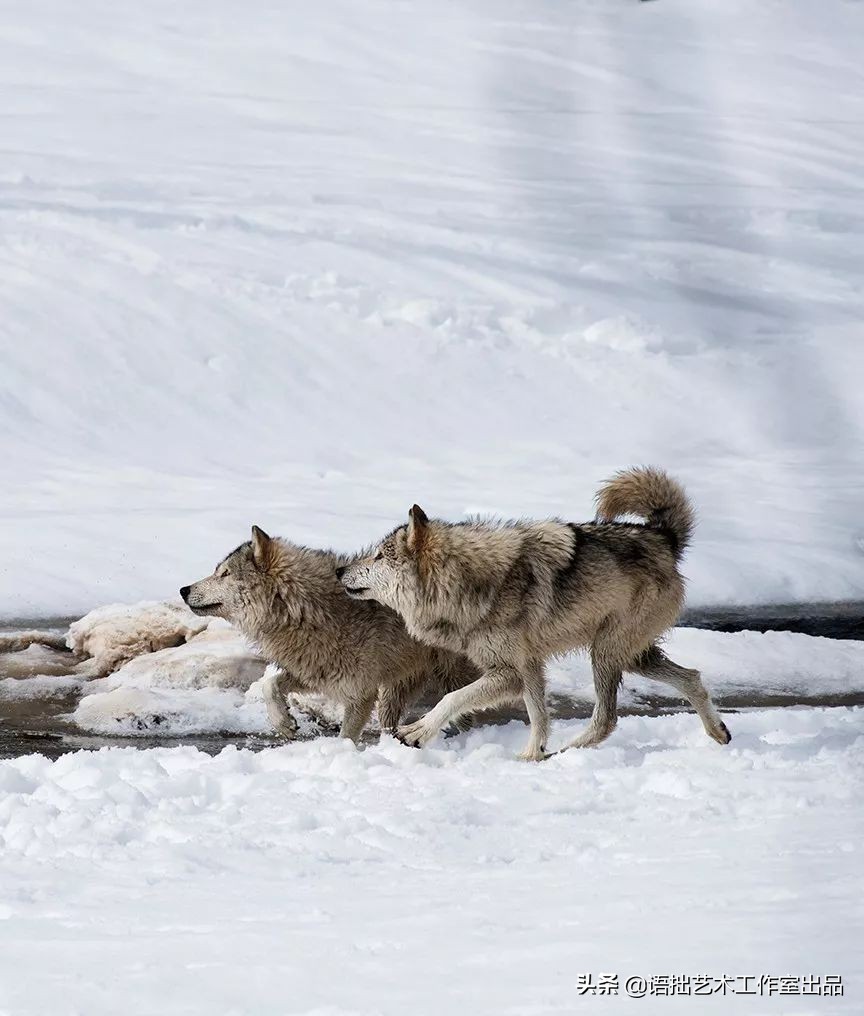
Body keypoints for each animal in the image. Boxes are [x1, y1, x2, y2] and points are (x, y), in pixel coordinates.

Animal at [178, 528, 475, 743]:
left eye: (225, 573)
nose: (183, 589)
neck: (305, 610)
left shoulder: (360, 695)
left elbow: (345, 737)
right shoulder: (317, 673)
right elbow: (269, 684)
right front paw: (284, 723)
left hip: (448, 676)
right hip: (396, 689)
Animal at [337, 465, 727, 759]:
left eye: (378, 556)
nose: (339, 571)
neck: (469, 583)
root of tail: (663, 537)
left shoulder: (509, 673)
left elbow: (452, 697)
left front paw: (417, 732)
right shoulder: (528, 668)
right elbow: (538, 717)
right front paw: (530, 756)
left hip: (605, 653)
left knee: (607, 719)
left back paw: (568, 753)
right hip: (632, 656)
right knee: (692, 677)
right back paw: (719, 731)